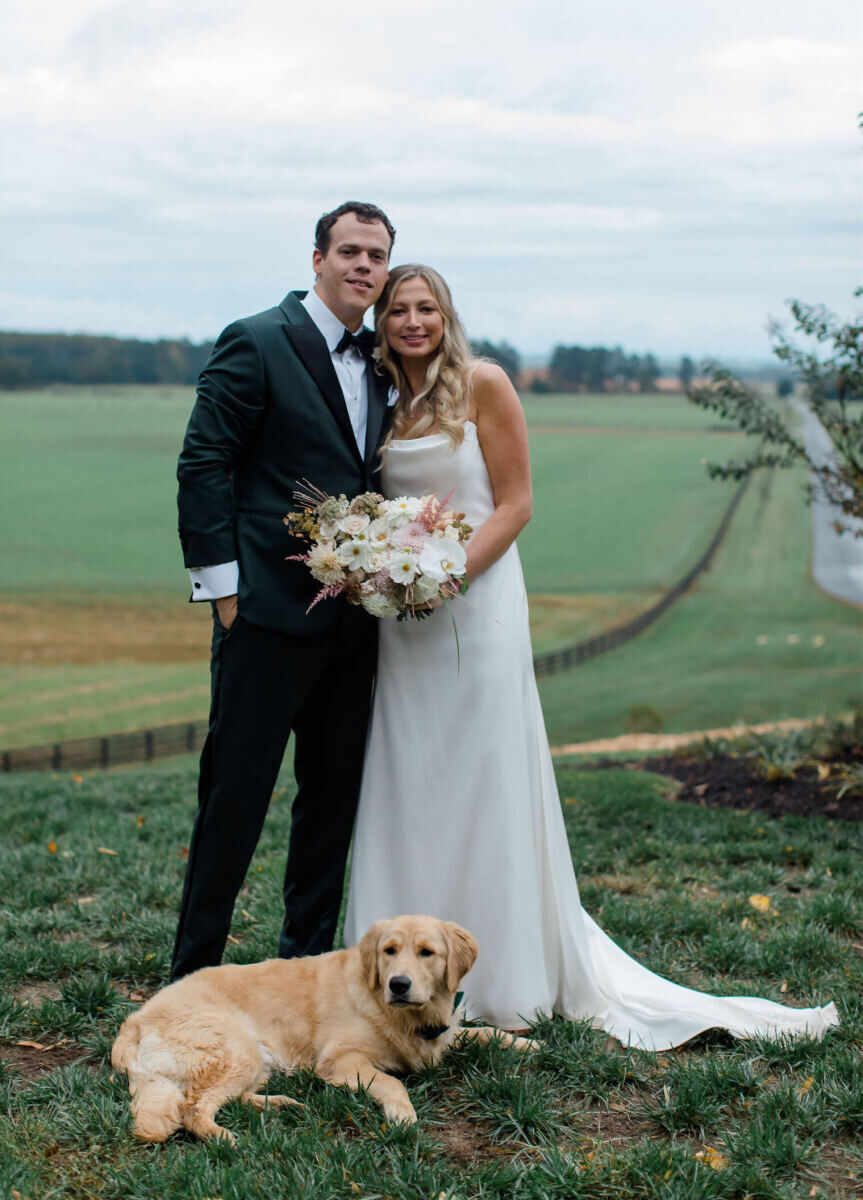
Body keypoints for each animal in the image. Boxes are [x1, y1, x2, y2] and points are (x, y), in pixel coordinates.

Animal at [109, 916, 532, 1142]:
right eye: (389, 951)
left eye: (427, 953)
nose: (399, 985)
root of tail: (133, 1021)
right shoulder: (340, 1061)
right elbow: (392, 1081)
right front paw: (402, 1117)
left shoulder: (439, 1034)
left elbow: (484, 1031)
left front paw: (530, 1045)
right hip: (237, 1048)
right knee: (192, 1108)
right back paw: (226, 1138)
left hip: (255, 1057)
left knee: (224, 1098)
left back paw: (281, 1104)